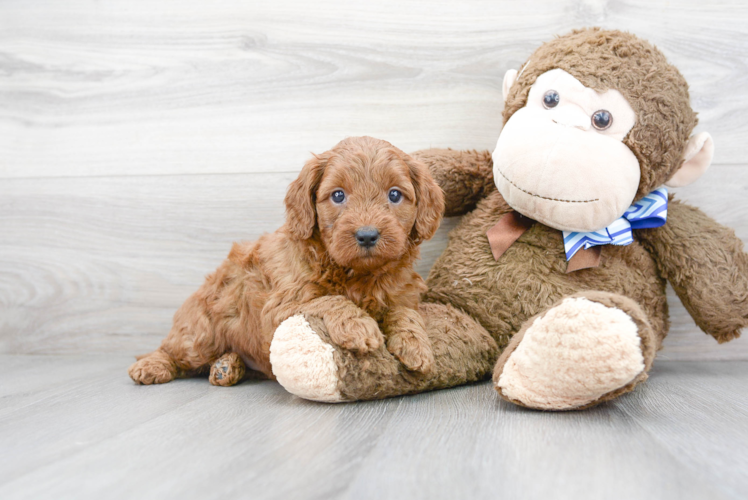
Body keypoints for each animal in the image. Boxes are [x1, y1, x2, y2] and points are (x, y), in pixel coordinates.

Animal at [129, 136, 444, 386]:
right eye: (338, 195)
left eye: (395, 194)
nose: (367, 235)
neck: (358, 274)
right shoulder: (283, 305)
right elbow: (329, 299)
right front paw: (359, 326)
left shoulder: (403, 294)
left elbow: (405, 312)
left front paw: (417, 345)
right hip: (200, 334)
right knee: (173, 350)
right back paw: (151, 366)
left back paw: (226, 367)